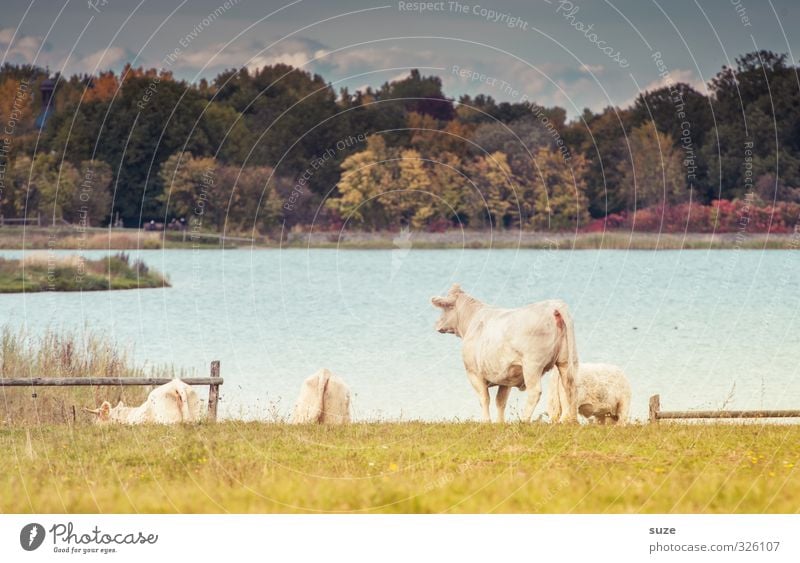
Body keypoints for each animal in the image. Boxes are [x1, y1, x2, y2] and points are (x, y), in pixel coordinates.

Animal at [432, 282, 576, 424]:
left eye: (445, 308)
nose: (437, 324)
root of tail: (553, 305)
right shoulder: (506, 376)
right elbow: (500, 401)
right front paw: (500, 423)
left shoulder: (473, 372)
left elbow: (484, 399)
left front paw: (486, 422)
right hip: (564, 360)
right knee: (568, 387)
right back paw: (564, 420)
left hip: (532, 365)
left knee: (535, 392)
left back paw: (524, 420)